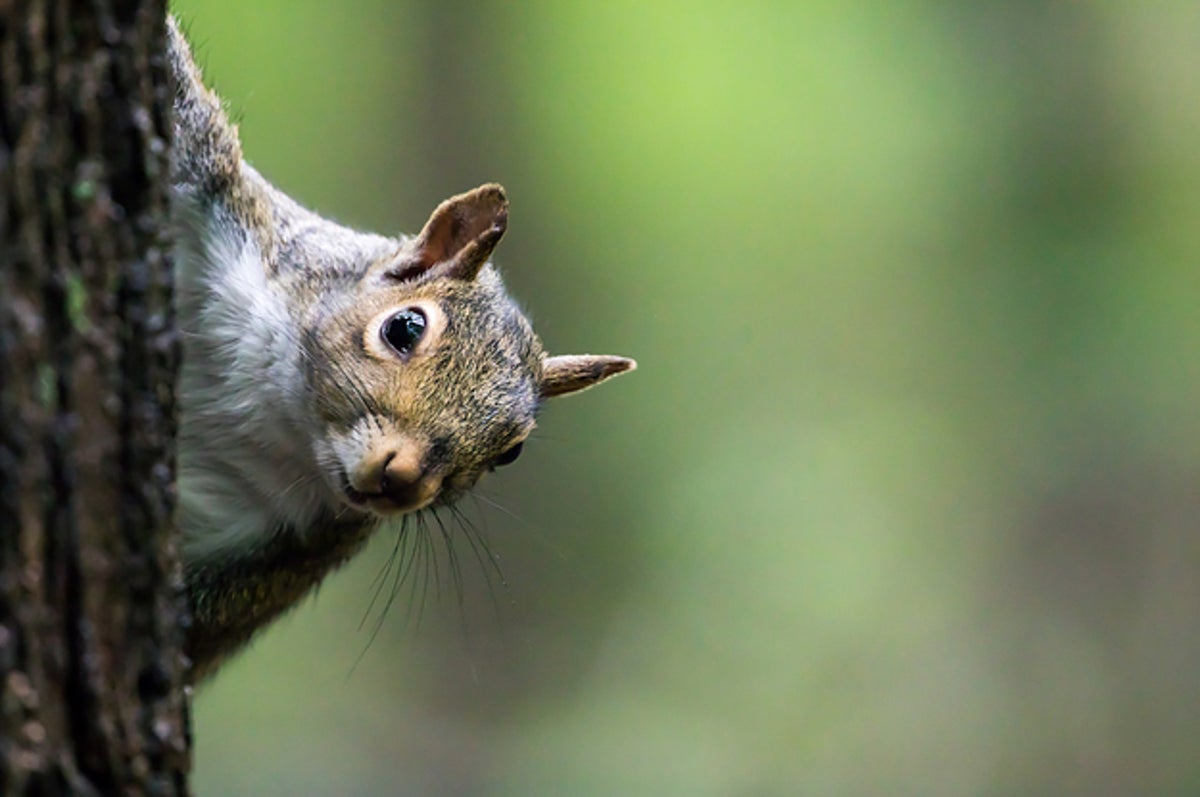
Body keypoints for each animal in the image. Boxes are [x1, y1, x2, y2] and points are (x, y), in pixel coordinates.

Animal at [169, 17, 638, 676]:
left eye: (510, 452)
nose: (404, 477)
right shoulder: (224, 202)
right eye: (405, 328)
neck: (275, 411)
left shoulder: (284, 553)